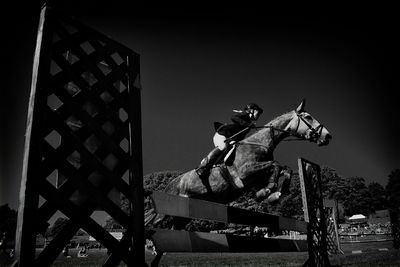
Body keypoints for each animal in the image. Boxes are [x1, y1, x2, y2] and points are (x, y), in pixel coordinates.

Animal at [145, 99, 332, 229]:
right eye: (308, 117)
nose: (328, 136)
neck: (260, 143)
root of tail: (169, 185)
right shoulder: (245, 172)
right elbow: (276, 165)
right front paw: (269, 192)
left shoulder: (256, 177)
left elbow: (284, 169)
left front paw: (276, 192)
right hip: (166, 211)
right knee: (153, 222)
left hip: (181, 217)